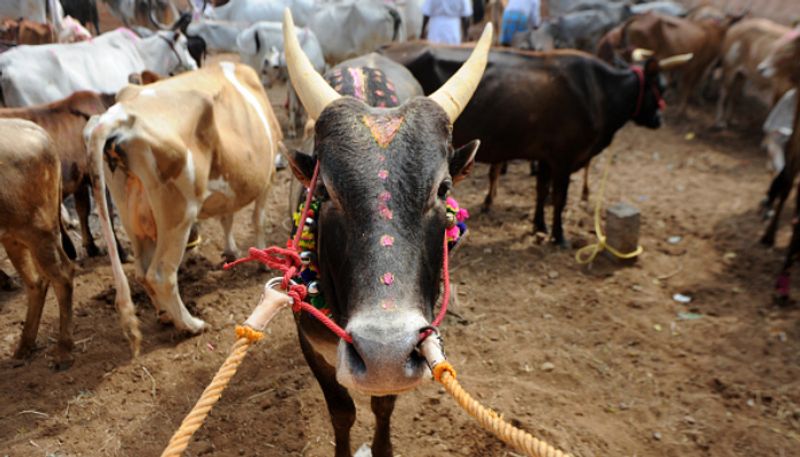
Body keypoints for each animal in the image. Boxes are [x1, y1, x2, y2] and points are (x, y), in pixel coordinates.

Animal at [0, 117, 75, 366]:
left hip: (39, 232)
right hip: (15, 237)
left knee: (63, 275)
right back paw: (25, 346)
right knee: (36, 282)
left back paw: (63, 350)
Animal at [282, 9, 494, 456]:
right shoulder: (310, 343)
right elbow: (341, 411)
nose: (383, 354)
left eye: (443, 188)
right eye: (323, 190)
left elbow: (382, 407)